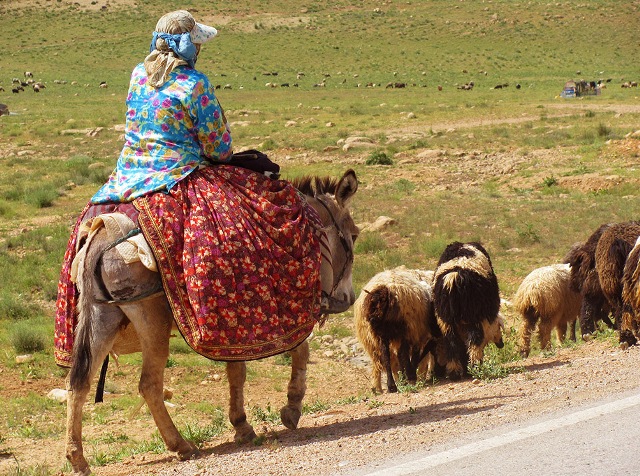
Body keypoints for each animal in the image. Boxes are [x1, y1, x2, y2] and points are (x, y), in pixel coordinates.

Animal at [432, 242, 502, 380]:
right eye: (499, 327)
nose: (501, 344)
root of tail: (454, 277)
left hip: (446, 320)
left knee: (451, 343)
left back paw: (454, 373)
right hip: (474, 317)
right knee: (475, 342)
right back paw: (475, 368)